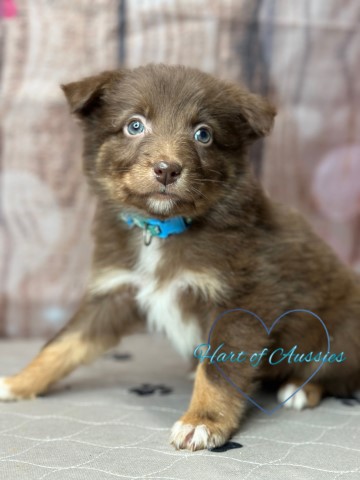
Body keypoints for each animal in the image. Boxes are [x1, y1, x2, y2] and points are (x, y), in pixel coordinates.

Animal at [0, 63, 360, 450]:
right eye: (135, 125)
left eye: (203, 134)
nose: (167, 169)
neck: (162, 228)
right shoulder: (115, 291)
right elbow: (63, 343)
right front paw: (19, 381)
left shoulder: (243, 300)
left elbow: (219, 369)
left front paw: (202, 421)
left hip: (342, 331)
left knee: (335, 370)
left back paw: (300, 390)